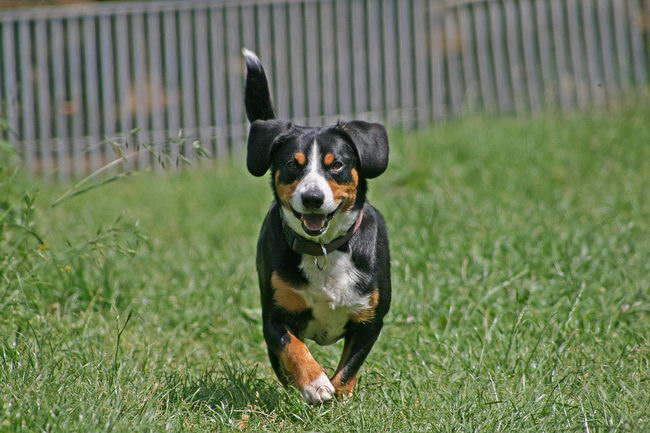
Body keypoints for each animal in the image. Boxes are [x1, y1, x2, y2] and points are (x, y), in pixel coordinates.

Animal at [239, 49, 388, 404]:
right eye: (292, 164)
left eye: (337, 165)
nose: (312, 197)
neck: (324, 251)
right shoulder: (274, 316)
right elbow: (292, 348)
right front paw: (313, 383)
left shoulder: (371, 320)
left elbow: (349, 367)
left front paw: (341, 396)